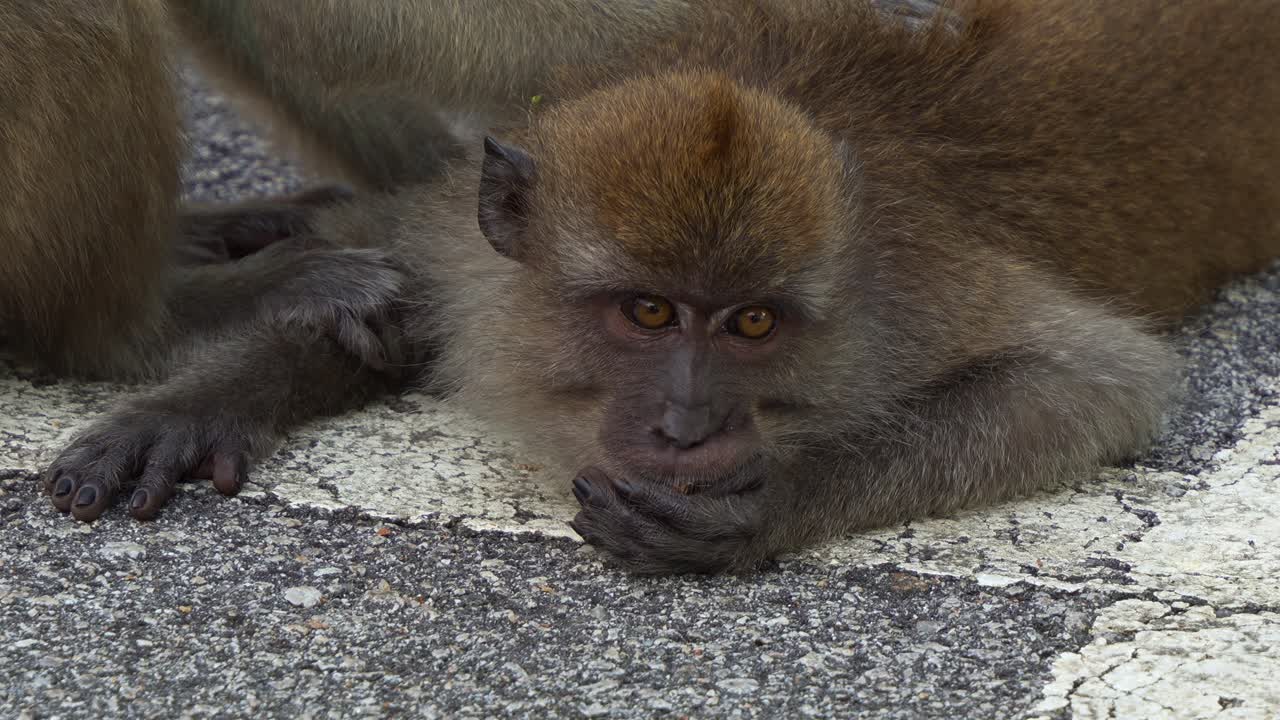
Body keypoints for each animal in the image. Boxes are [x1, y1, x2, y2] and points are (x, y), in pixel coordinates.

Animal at [42, 0, 1280, 575]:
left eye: (751, 323)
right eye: (646, 312)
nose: (685, 427)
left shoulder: (901, 296)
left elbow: (1089, 383)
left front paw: (756, 506)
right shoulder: (464, 250)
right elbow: (376, 296)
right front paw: (191, 409)